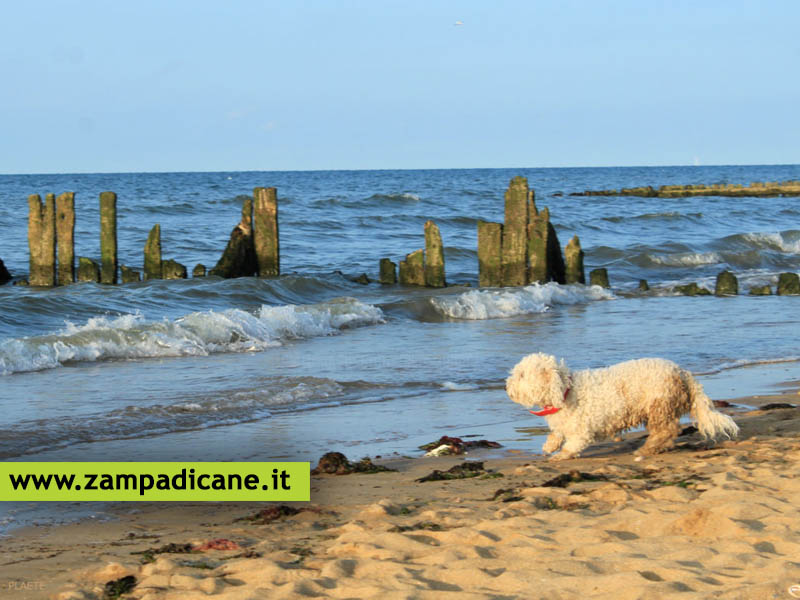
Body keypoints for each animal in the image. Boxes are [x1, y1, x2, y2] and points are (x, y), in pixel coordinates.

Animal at [506, 352, 736, 460]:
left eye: (522, 375)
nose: (506, 385)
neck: (565, 391)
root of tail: (682, 372)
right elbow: (557, 434)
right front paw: (550, 445)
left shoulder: (582, 431)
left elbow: (573, 444)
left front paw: (561, 454)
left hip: (659, 405)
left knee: (666, 431)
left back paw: (647, 447)